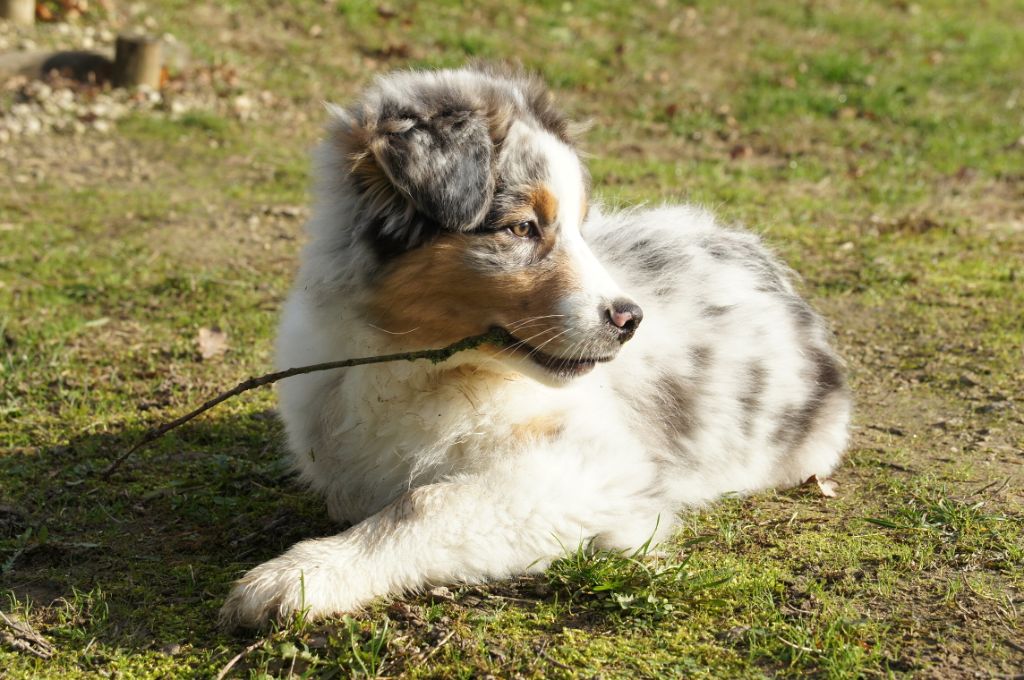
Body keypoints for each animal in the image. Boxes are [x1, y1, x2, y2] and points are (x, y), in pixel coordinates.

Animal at [218, 63, 847, 626]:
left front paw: (299, 575)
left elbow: (425, 501)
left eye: (578, 227)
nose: (631, 319)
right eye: (521, 227)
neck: (430, 370)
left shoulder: (595, 466)